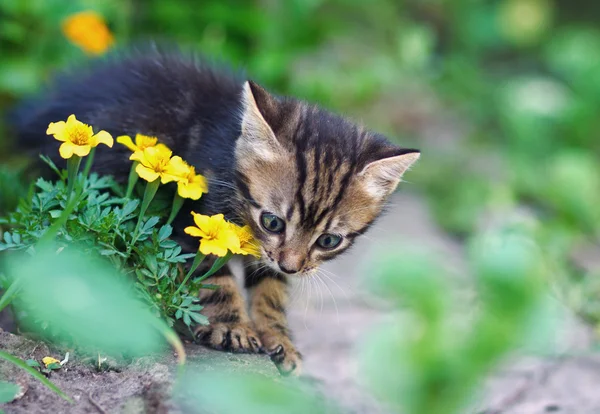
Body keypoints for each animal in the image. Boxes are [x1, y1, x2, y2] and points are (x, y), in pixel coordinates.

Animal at [12, 46, 418, 376]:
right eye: (272, 222)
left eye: (330, 240)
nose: (291, 266)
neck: (228, 148)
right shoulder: (190, 221)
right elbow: (211, 276)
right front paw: (232, 327)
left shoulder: (267, 256)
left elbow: (271, 288)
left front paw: (279, 338)